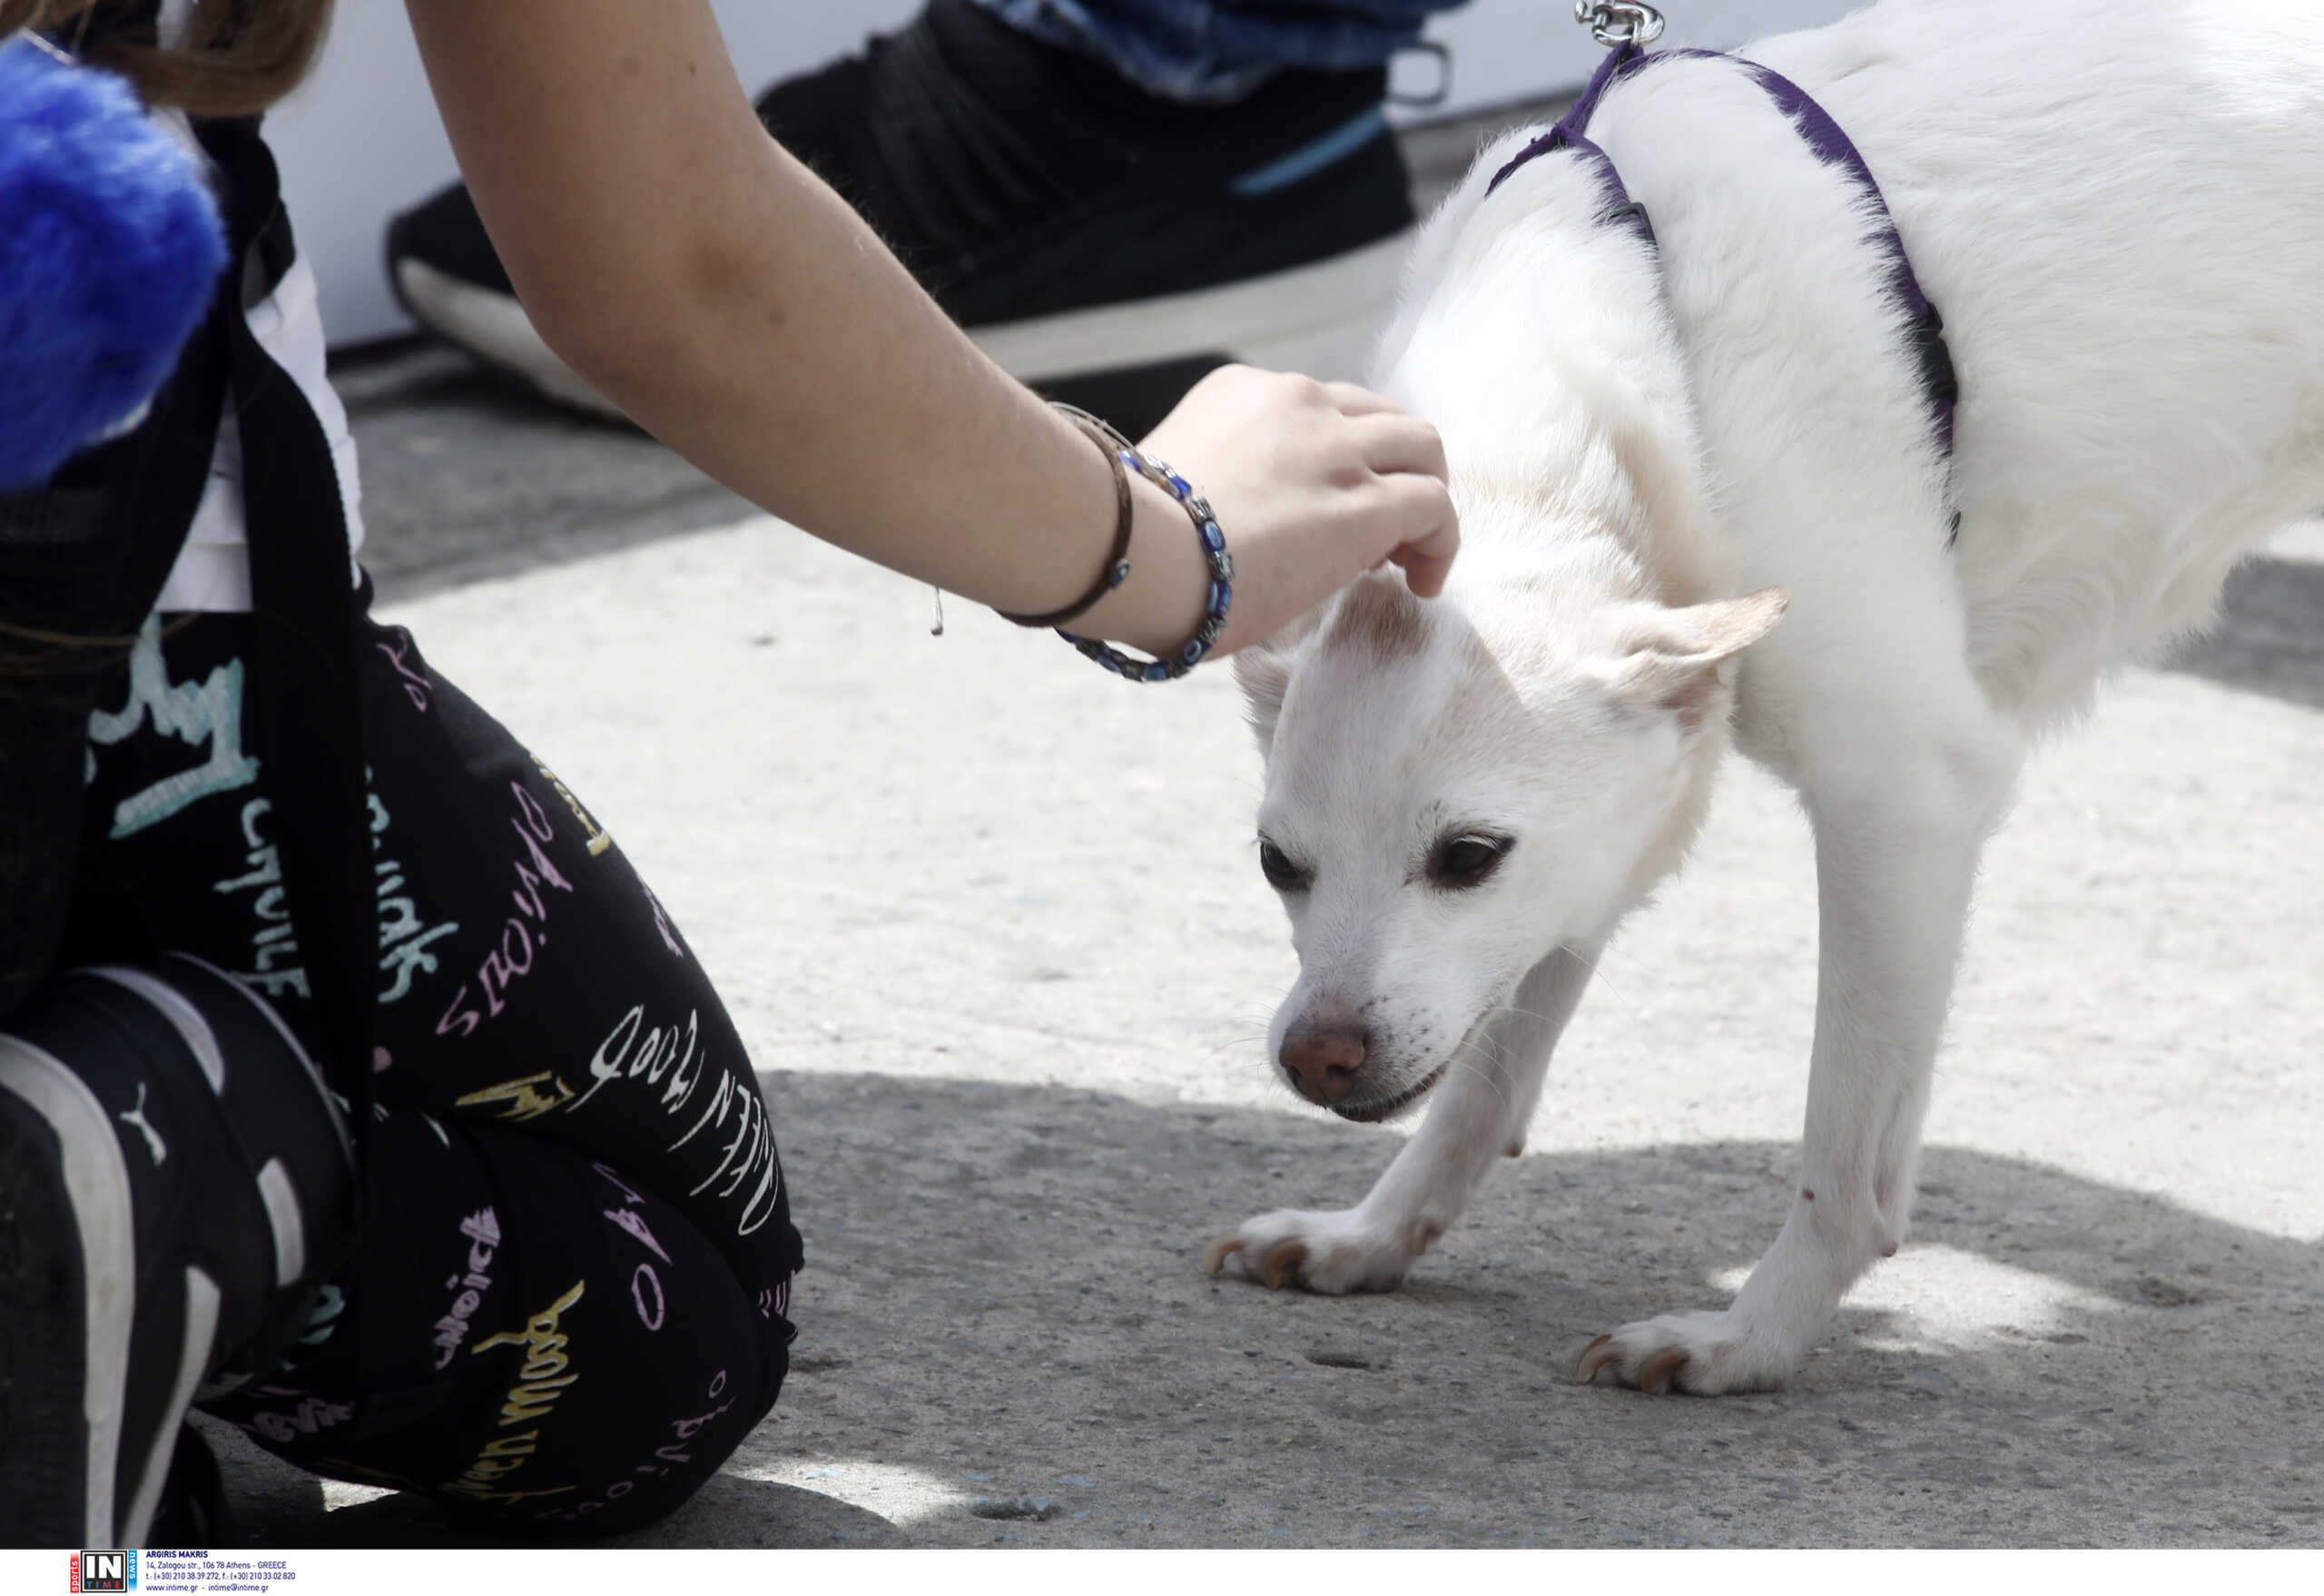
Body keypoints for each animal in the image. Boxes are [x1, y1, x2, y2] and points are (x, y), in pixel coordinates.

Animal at [1208, 0, 2314, 1394]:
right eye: (1274, 865)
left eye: (1466, 857)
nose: (1316, 1058)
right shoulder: (1602, 848)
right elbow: (1484, 1083)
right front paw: (1374, 1234)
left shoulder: (1903, 803)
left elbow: (1843, 1157)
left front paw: (1749, 1341)